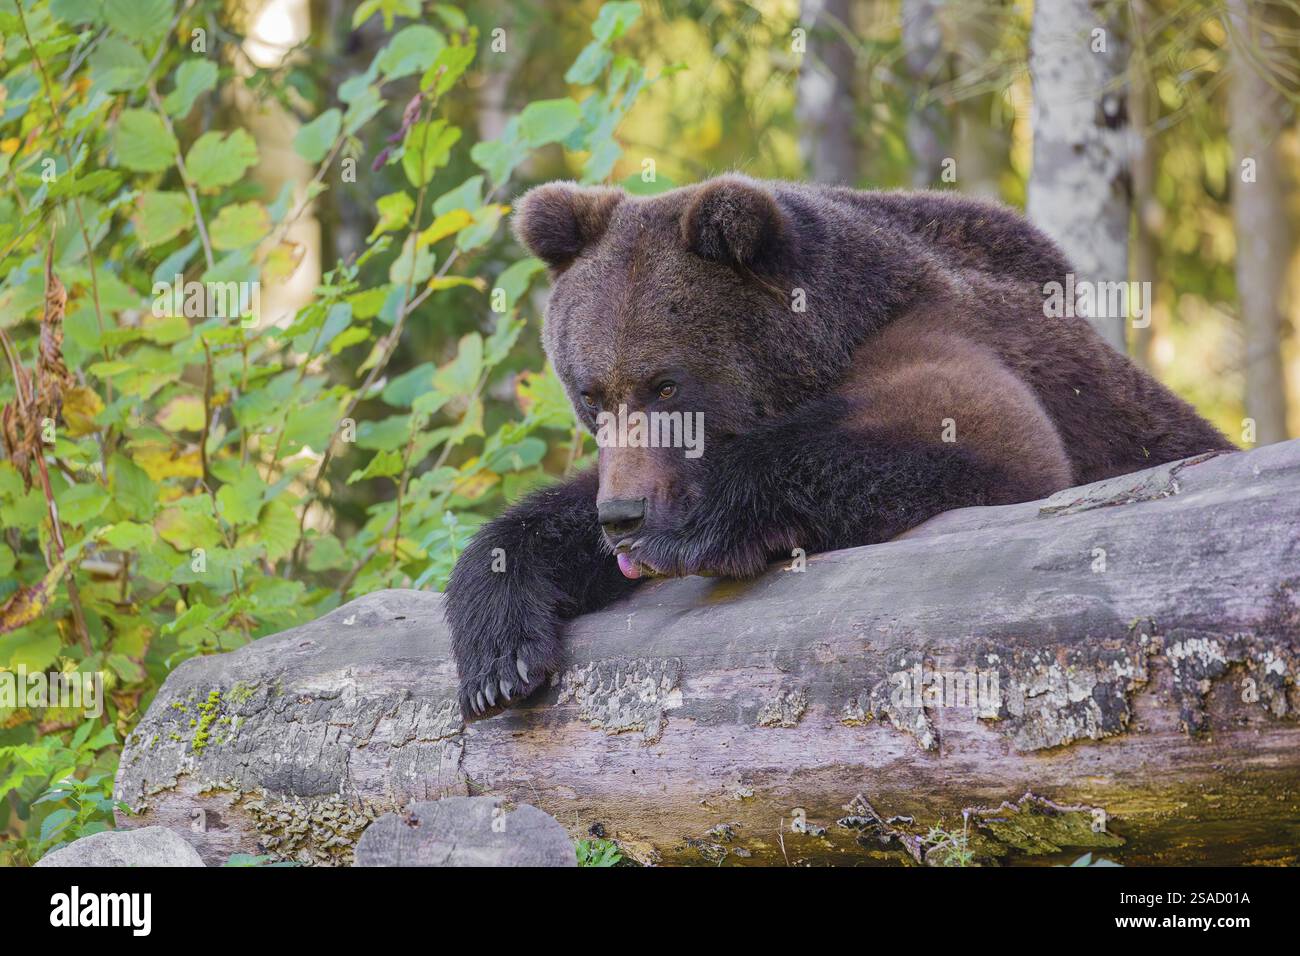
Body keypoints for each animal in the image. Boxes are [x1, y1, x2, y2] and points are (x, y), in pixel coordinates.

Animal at [444, 174, 1233, 719]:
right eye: (590, 392)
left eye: (666, 383)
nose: (624, 517)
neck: (824, 339)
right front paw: (499, 655)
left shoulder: (940, 336)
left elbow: (990, 438)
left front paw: (700, 529)